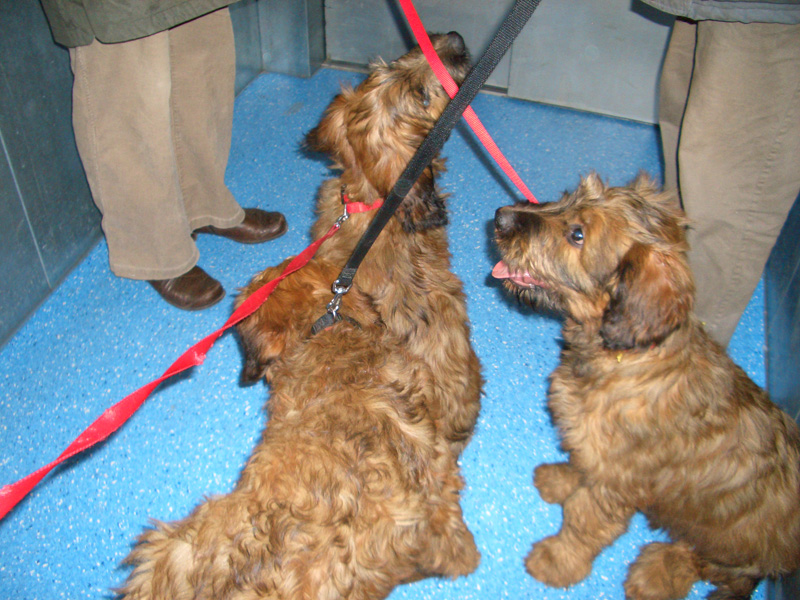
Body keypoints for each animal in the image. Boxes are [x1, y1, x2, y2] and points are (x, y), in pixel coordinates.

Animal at [492, 173, 800, 600]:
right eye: (571, 195)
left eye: (577, 234)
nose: (501, 217)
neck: (629, 356)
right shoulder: (595, 453)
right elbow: (580, 464)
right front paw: (559, 479)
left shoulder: (616, 483)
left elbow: (584, 521)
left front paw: (556, 562)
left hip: (730, 546)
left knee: (702, 563)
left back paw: (654, 573)